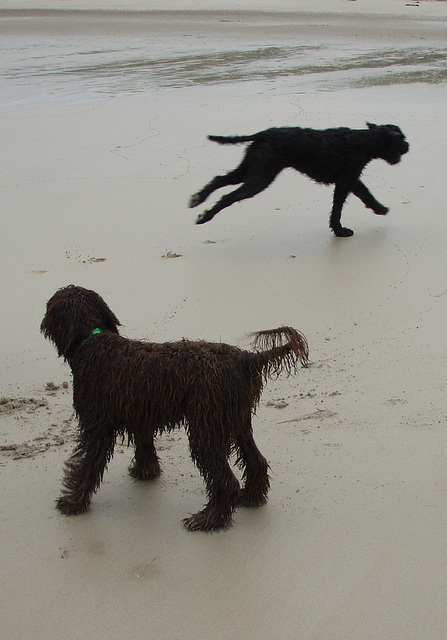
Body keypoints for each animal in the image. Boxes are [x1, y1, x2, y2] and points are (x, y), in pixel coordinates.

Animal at [189, 122, 410, 238]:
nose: (408, 146)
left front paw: (380, 208)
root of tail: (265, 133)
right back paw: (205, 216)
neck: (365, 141)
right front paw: (339, 230)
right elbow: (337, 208)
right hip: (260, 179)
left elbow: (366, 195)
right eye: (401, 138)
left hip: (248, 170)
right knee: (228, 196)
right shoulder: (345, 182)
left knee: (220, 179)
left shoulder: (352, 180)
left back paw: (198, 198)